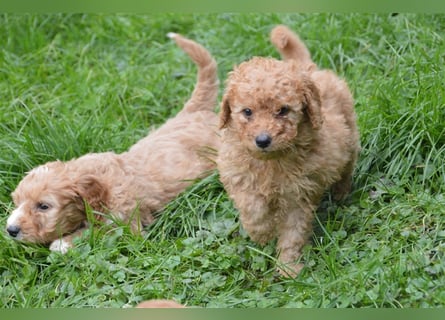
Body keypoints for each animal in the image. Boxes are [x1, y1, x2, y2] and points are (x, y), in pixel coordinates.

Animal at [6, 32, 221, 252]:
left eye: (44, 206)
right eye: (17, 201)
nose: (11, 230)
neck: (100, 182)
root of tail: (195, 111)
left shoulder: (126, 224)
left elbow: (99, 232)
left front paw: (63, 243)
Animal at [217, 25, 360, 276]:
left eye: (283, 110)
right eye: (247, 112)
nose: (263, 140)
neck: (271, 162)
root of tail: (308, 68)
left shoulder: (299, 195)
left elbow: (293, 232)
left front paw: (289, 268)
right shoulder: (238, 177)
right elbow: (253, 208)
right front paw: (262, 233)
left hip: (350, 136)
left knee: (347, 167)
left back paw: (341, 192)